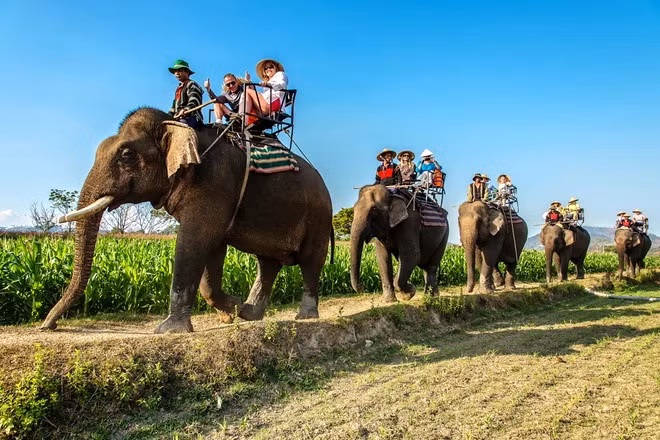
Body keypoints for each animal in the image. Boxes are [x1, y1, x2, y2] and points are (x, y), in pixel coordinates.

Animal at [41, 108, 333, 333]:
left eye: (126, 155)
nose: (48, 326)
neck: (176, 123)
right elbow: (213, 248)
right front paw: (231, 310)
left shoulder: (213, 185)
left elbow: (195, 241)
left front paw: (168, 330)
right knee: (268, 263)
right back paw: (249, 314)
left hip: (318, 216)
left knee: (310, 262)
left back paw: (304, 316)